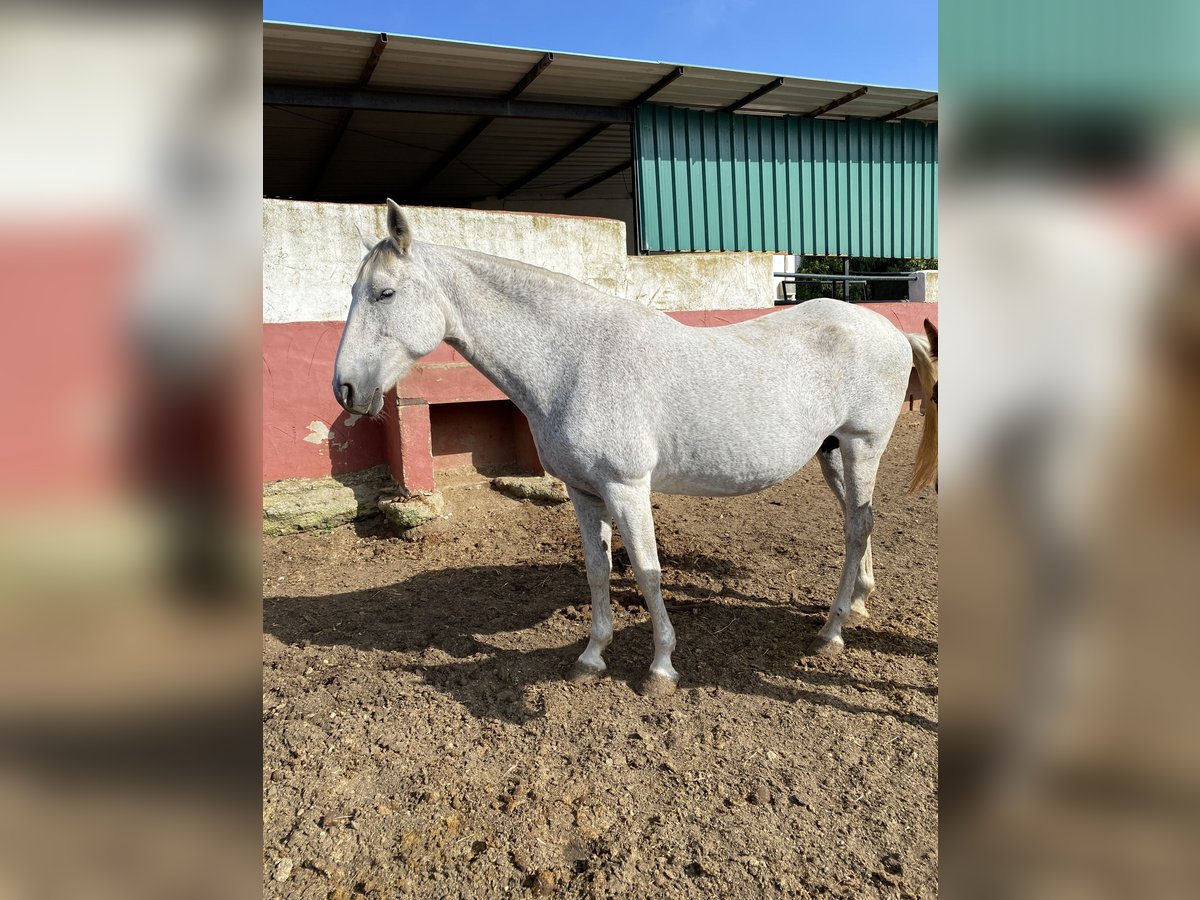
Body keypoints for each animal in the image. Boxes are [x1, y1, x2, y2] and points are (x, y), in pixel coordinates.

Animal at [336, 202, 936, 696]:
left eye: (385, 293)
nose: (345, 389)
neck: (574, 360)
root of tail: (889, 329)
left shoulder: (626, 488)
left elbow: (647, 571)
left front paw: (661, 669)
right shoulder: (583, 493)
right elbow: (598, 571)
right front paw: (591, 657)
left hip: (862, 447)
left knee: (857, 526)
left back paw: (831, 633)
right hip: (832, 453)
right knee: (859, 522)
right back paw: (856, 606)